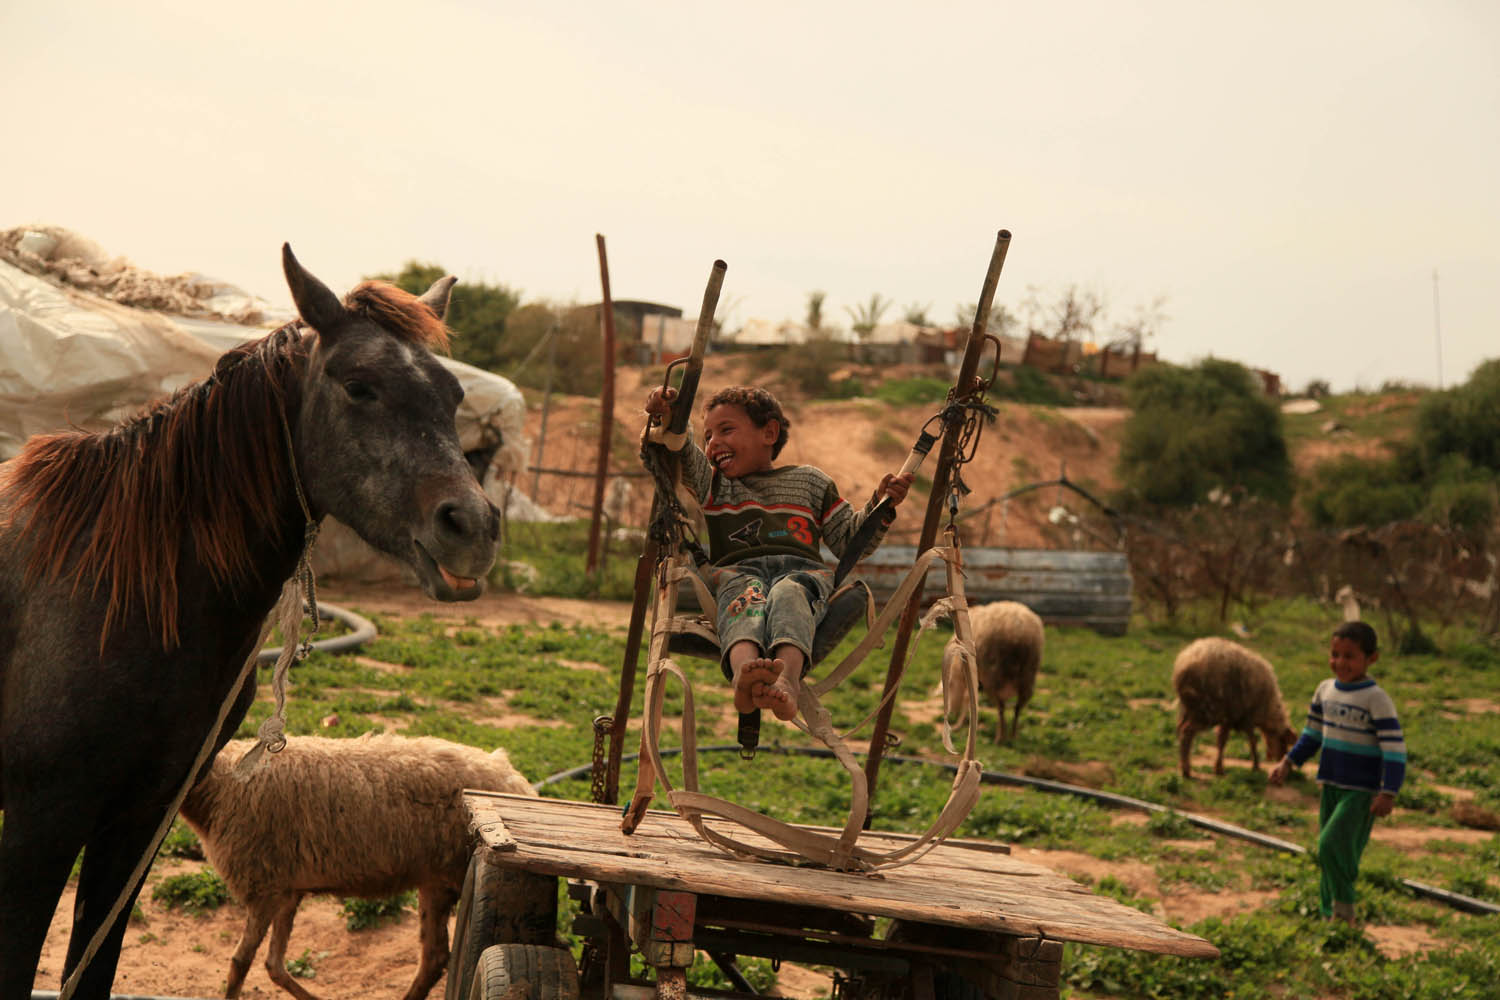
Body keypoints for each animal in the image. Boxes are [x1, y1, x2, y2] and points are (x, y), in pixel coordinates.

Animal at [178, 731, 537, 1000]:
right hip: (436, 882)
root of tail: (517, 782)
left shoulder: (263, 887)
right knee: (434, 956)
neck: (221, 783)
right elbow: (273, 965)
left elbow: (240, 962)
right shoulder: (286, 888)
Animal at [936, 602, 1044, 743]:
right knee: (1018, 707)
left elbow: (967, 700)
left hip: (993, 674)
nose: (951, 713)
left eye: (949, 687)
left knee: (1001, 707)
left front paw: (959, 725)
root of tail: (1018, 630)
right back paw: (1013, 735)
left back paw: (1000, 737)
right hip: (1027, 675)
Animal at [1164, 641, 1296, 779]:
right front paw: (1255, 766)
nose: (1280, 759)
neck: (1268, 709)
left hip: (1187, 709)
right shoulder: (1245, 716)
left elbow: (1222, 741)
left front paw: (1218, 768)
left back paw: (1182, 765)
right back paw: (1186, 771)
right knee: (1186, 733)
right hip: (1203, 710)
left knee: (1180, 730)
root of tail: (1183, 664)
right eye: (1283, 741)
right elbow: (1251, 741)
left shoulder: (1229, 717)